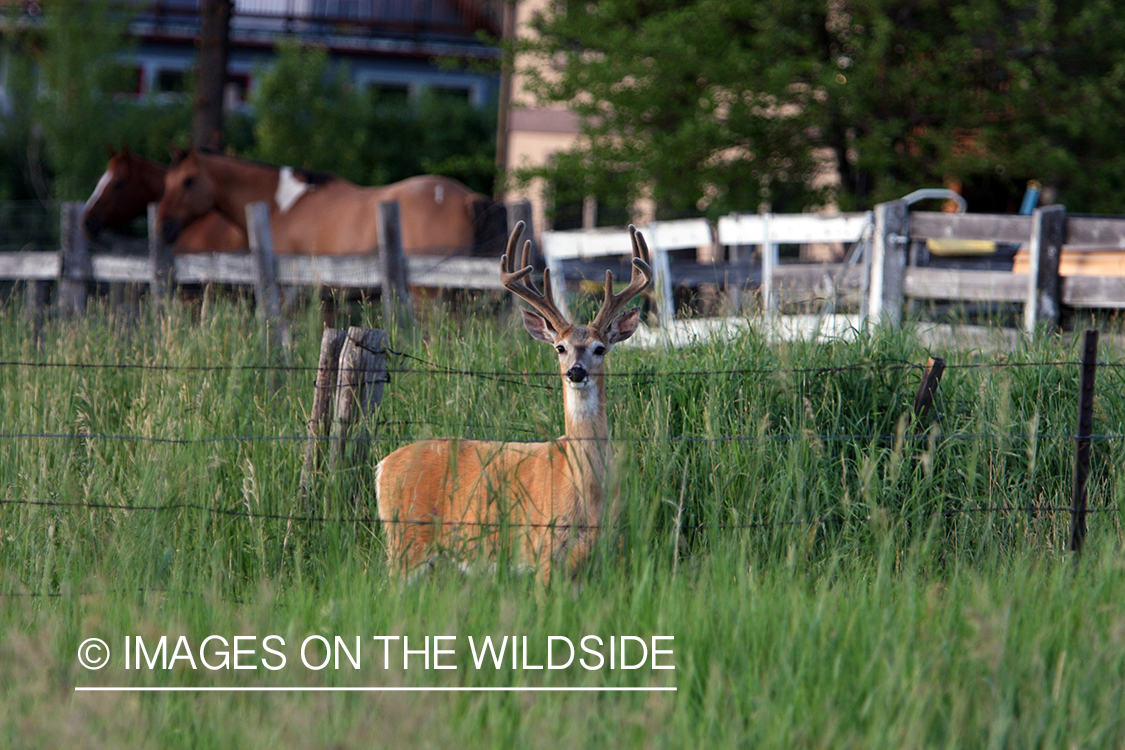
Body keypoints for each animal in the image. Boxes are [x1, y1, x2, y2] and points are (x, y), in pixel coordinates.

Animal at [373, 220, 657, 584]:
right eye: (560, 348)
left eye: (600, 348)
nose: (576, 372)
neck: (585, 490)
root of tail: (383, 466)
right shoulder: (542, 549)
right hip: (407, 539)